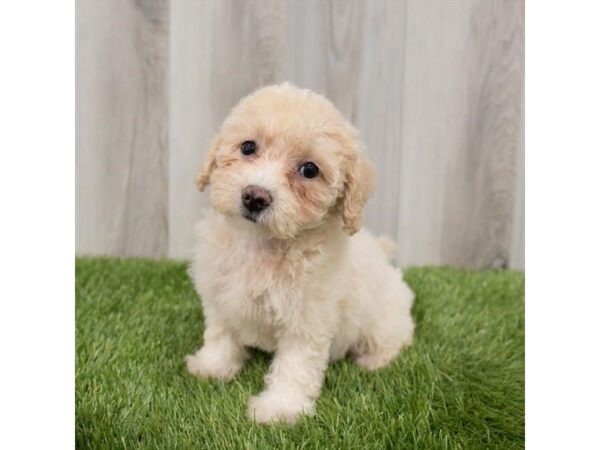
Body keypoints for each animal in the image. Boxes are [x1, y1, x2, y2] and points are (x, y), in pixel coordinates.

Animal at [185, 82, 414, 424]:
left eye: (309, 169)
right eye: (248, 147)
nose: (255, 197)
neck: (264, 244)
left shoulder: (307, 319)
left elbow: (296, 365)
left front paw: (279, 408)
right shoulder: (220, 294)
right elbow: (220, 333)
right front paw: (213, 366)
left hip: (384, 317)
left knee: (397, 337)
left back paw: (373, 361)